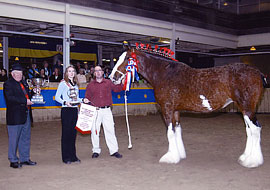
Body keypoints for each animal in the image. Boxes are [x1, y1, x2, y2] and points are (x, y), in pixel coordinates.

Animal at [108, 44, 264, 168]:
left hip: (247, 108)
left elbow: (170, 132)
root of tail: (258, 72)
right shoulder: (176, 110)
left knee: (255, 129)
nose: (112, 78)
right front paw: (179, 154)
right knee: (249, 130)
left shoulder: (167, 108)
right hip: (243, 109)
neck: (165, 74)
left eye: (127, 59)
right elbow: (177, 130)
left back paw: (252, 161)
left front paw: (170, 157)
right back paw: (245, 157)